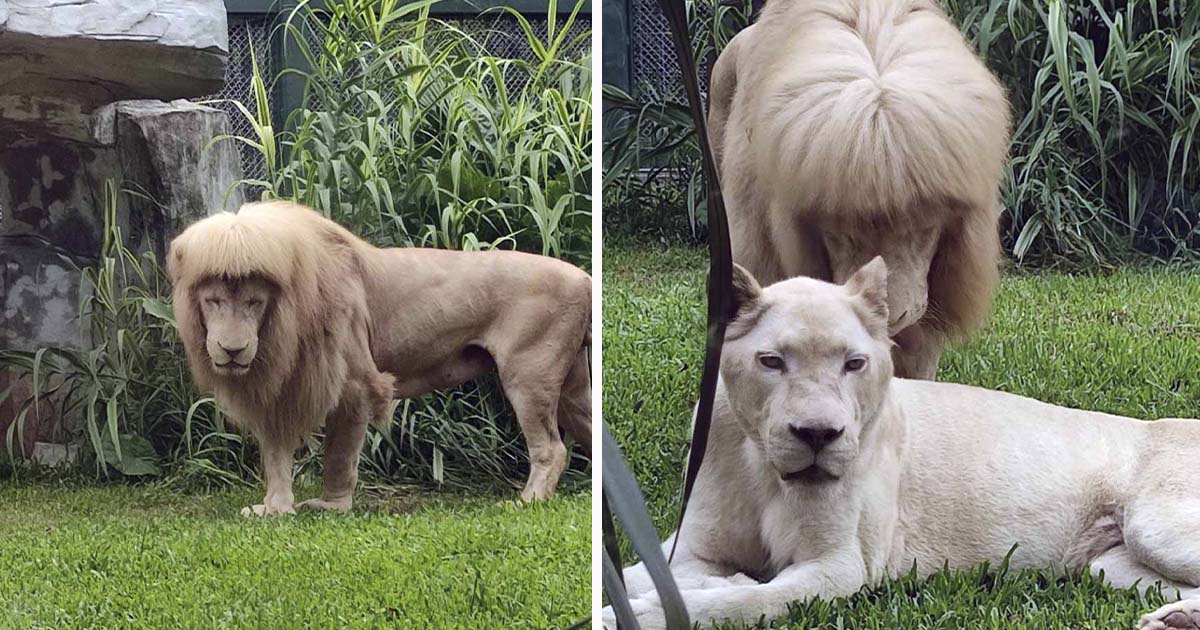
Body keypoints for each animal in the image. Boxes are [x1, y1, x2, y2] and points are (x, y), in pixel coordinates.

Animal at [167, 201, 591, 516]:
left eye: (254, 303)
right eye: (213, 301)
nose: (232, 349)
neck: (280, 326)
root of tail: (585, 279)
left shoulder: (355, 384)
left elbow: (339, 455)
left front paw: (331, 507)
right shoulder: (279, 390)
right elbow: (276, 456)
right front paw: (273, 509)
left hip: (529, 376)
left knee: (552, 448)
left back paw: (528, 501)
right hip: (574, 389)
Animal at [604, 260, 1200, 630]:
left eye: (854, 363)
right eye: (771, 361)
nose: (818, 435)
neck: (760, 465)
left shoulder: (838, 567)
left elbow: (741, 600)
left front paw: (636, 613)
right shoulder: (692, 551)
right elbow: (649, 575)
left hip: (1157, 527)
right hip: (1110, 565)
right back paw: (1176, 620)